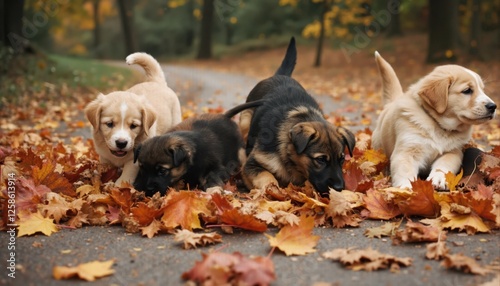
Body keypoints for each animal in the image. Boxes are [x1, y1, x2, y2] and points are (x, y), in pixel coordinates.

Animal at [85, 52, 182, 185]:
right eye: (109, 124)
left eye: (133, 126)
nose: (121, 143)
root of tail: (156, 81)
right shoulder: (104, 157)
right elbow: (106, 169)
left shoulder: (135, 159)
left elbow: (126, 175)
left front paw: (119, 185)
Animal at [135, 101, 264, 197]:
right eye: (142, 168)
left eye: (162, 170)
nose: (148, 189)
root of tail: (224, 115)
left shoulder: (215, 167)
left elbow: (212, 177)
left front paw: (213, 190)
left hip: (239, 153)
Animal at [241, 37, 356, 197]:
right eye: (321, 160)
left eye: (342, 159)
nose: (339, 188)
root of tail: (279, 75)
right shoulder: (251, 165)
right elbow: (267, 176)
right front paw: (271, 190)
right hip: (245, 121)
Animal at [372, 52, 496, 190]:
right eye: (467, 90)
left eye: (482, 90)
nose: (493, 106)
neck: (438, 126)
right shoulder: (406, 151)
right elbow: (405, 170)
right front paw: (406, 188)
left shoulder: (453, 152)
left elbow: (444, 165)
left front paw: (438, 179)